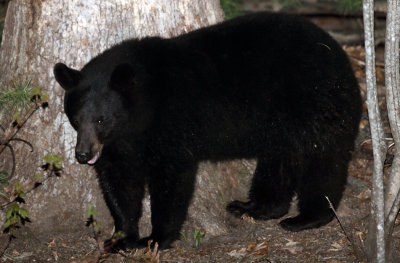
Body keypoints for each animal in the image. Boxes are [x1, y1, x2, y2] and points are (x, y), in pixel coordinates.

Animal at [54, 12, 362, 252]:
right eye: (75, 118)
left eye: (101, 119)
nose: (83, 155)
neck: (142, 111)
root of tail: (338, 52)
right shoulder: (119, 146)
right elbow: (119, 183)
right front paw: (122, 237)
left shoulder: (171, 123)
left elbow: (172, 179)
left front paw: (156, 238)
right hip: (282, 125)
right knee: (279, 160)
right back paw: (255, 207)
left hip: (316, 101)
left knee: (322, 159)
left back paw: (308, 217)